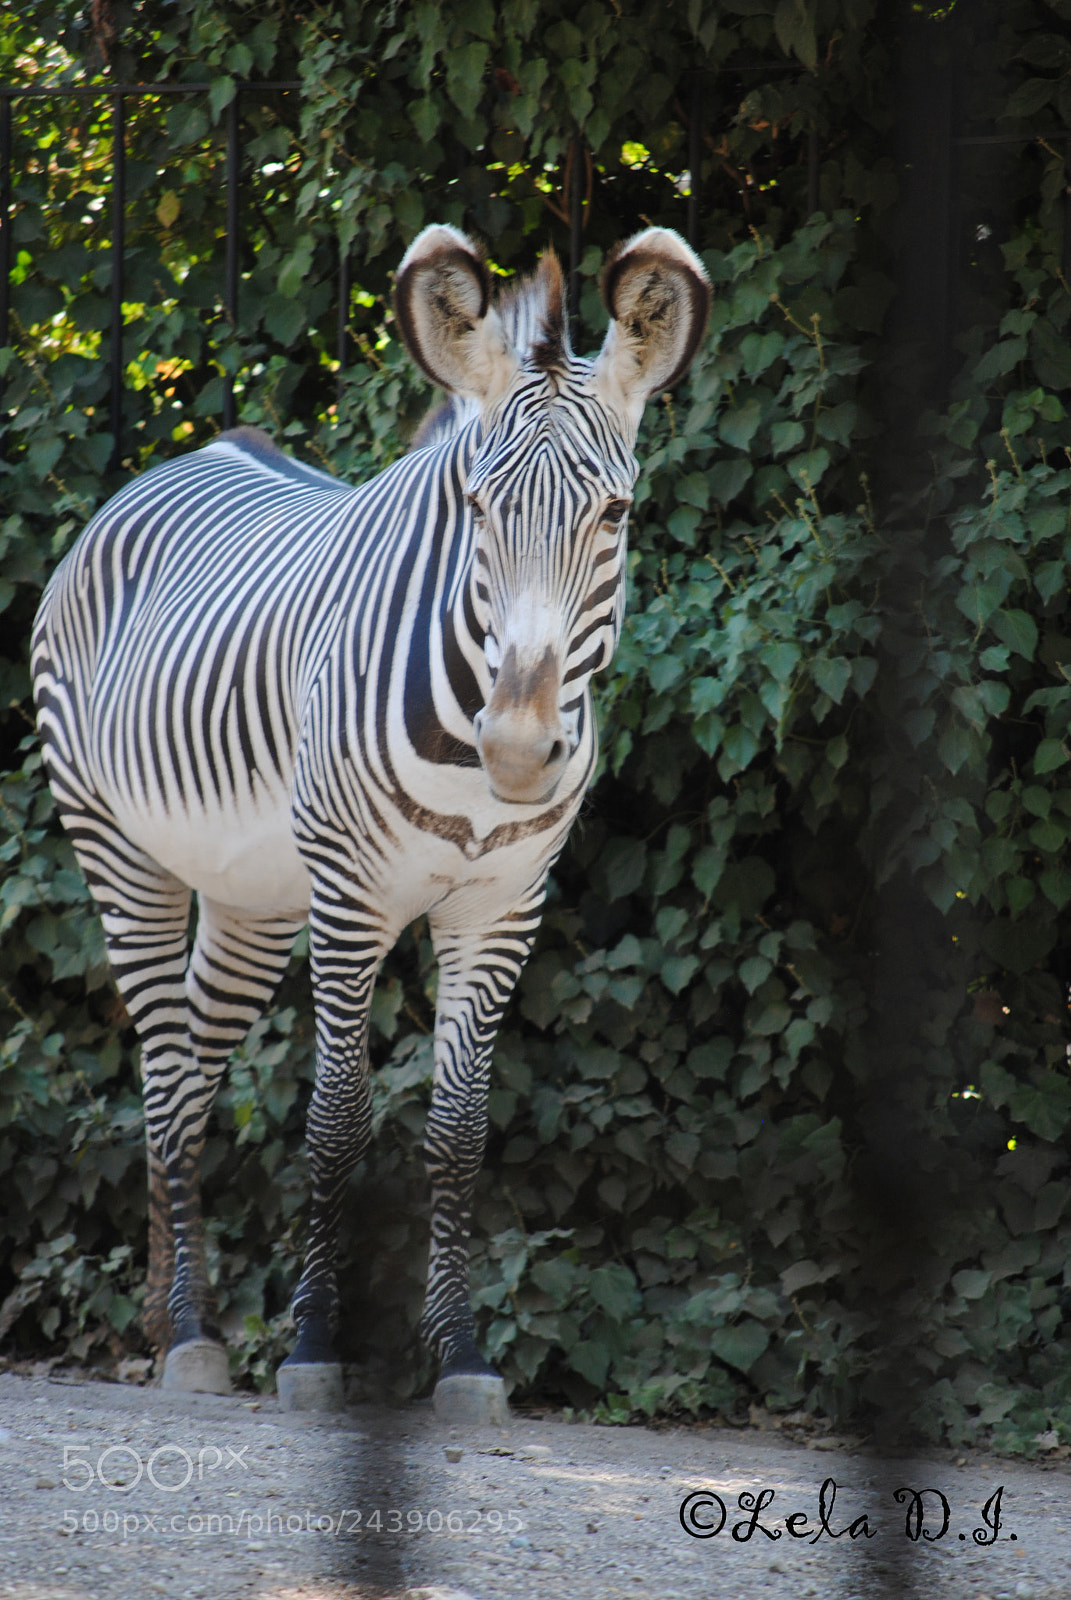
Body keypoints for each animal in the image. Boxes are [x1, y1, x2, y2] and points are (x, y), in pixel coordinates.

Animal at [31, 223, 710, 1420]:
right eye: (478, 508)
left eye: (616, 515)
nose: (520, 751)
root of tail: (189, 455)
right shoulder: (350, 903)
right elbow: (338, 1119)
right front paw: (313, 1347)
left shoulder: (501, 907)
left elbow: (459, 1131)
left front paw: (462, 1353)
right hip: (120, 849)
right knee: (163, 1069)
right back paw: (193, 1332)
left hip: (254, 897)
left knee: (193, 1071)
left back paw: (164, 1318)